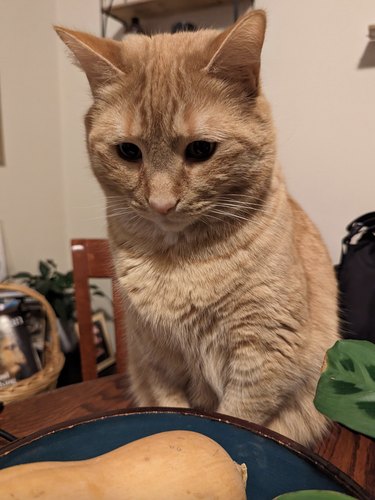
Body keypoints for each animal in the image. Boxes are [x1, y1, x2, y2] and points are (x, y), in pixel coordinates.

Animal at [56, 10, 340, 446]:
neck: (180, 259)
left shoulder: (262, 353)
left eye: (201, 150)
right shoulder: (155, 355)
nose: (161, 203)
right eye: (128, 152)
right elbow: (170, 405)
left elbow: (237, 415)